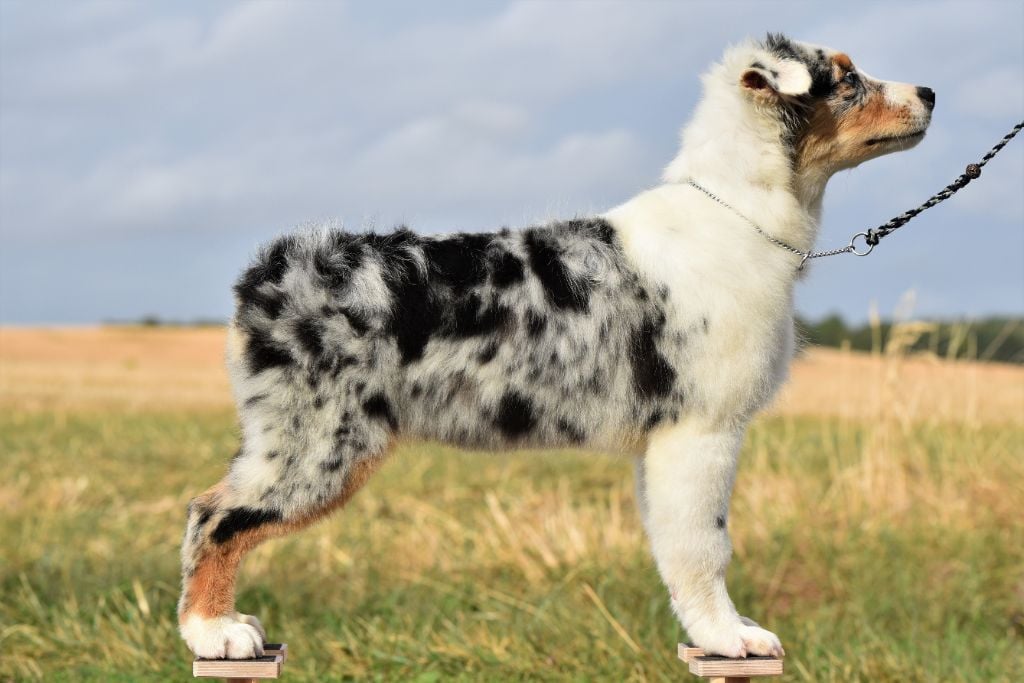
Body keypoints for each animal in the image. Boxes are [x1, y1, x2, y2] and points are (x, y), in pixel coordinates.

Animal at [179, 33, 933, 660]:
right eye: (847, 79)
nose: (930, 93)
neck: (738, 212)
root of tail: (270, 271)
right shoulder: (704, 428)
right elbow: (706, 544)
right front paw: (729, 637)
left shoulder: (664, 443)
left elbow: (674, 543)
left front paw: (713, 632)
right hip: (318, 440)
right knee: (214, 516)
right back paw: (215, 632)